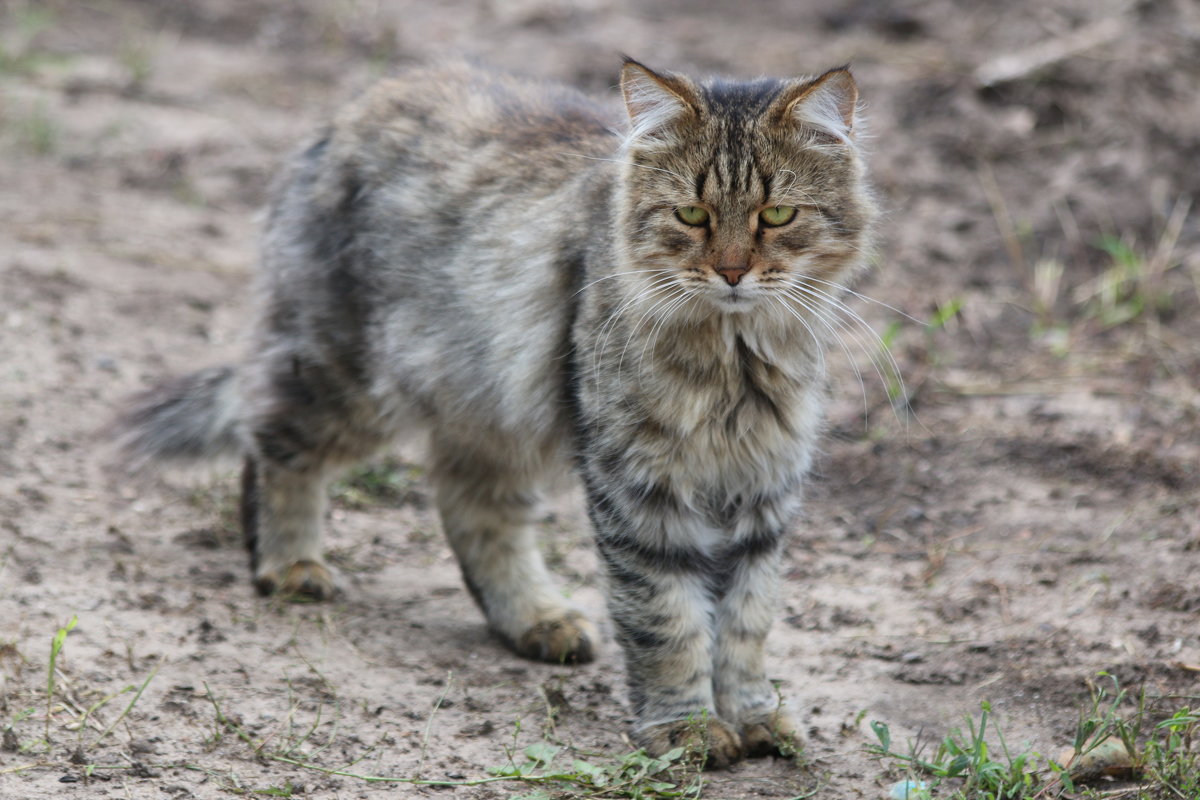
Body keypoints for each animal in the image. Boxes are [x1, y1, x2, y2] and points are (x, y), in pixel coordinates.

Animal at [112, 57, 878, 767]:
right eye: (691, 215)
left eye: (777, 216)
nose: (731, 272)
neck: (734, 361)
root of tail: (357, 103)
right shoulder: (641, 490)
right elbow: (667, 620)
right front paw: (685, 730)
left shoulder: (763, 488)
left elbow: (746, 624)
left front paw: (753, 718)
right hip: (349, 378)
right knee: (271, 439)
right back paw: (289, 565)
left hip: (488, 409)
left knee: (469, 506)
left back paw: (536, 619)